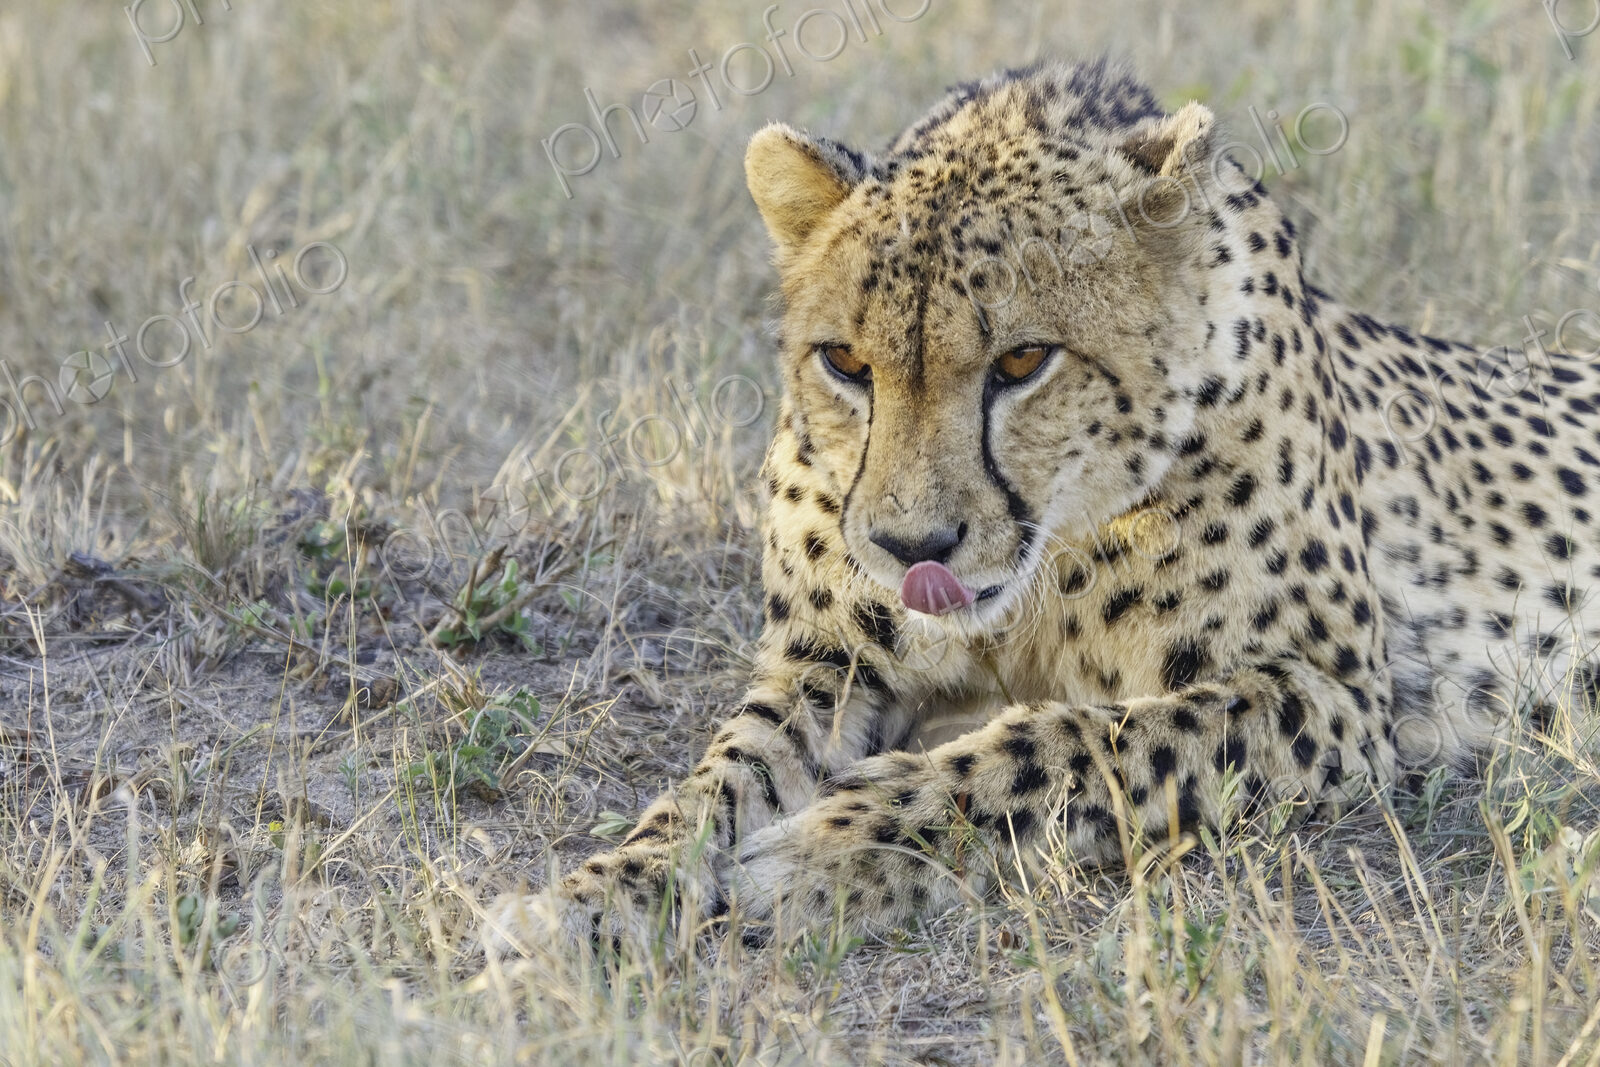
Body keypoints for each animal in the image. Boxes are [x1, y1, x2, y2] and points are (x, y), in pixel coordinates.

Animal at [486, 57, 1600, 953]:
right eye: (844, 361)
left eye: (1023, 362)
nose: (913, 547)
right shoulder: (828, 664)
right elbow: (708, 783)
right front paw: (592, 897)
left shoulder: (1328, 694)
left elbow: (1070, 739)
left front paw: (827, 845)